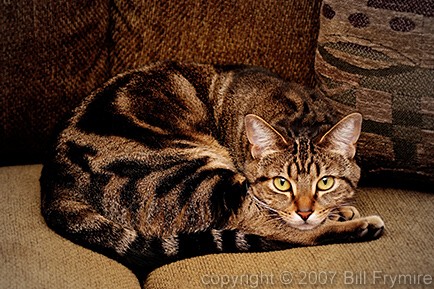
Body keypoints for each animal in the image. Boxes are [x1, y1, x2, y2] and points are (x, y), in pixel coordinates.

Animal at [39, 61, 384, 280]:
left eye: (324, 182)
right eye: (282, 183)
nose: (304, 211)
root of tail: (55, 187)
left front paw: (339, 208)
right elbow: (278, 221)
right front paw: (341, 217)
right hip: (196, 176)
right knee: (271, 229)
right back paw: (361, 226)